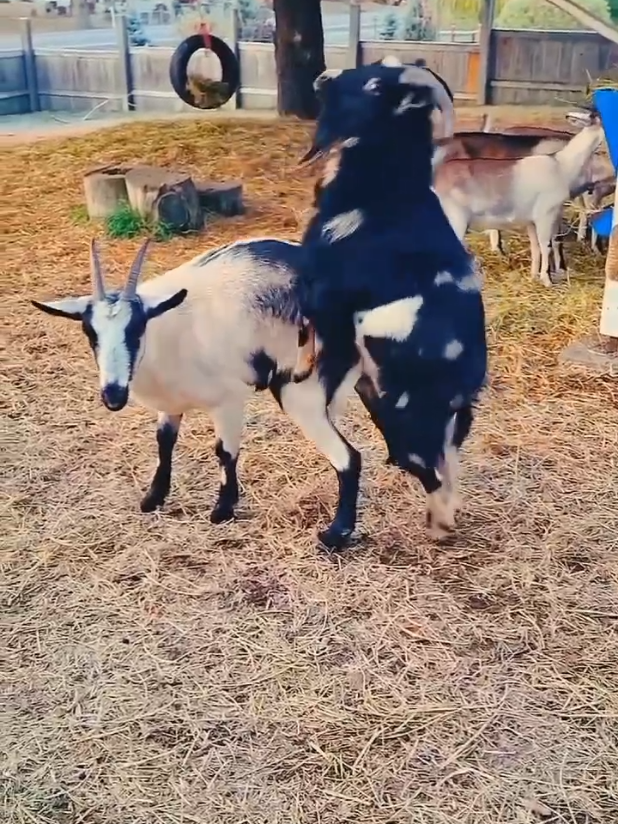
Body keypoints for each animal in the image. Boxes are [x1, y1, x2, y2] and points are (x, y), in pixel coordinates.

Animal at [31, 238, 362, 549]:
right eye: (90, 332)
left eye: (136, 328)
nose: (113, 395)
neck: (167, 327)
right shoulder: (170, 403)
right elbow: (164, 441)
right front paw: (153, 498)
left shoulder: (228, 400)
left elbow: (224, 452)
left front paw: (222, 510)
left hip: (301, 390)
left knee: (348, 457)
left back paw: (335, 535)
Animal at [298, 63, 487, 542]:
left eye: (376, 85)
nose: (323, 77)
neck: (385, 196)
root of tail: (460, 384)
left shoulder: (328, 304)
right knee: (443, 465)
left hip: (402, 412)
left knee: (428, 470)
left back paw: (433, 525)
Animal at [434, 113, 605, 286]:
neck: (561, 164)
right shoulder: (547, 213)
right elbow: (547, 244)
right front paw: (547, 280)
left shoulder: (532, 220)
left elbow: (536, 247)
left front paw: (534, 276)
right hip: (456, 219)